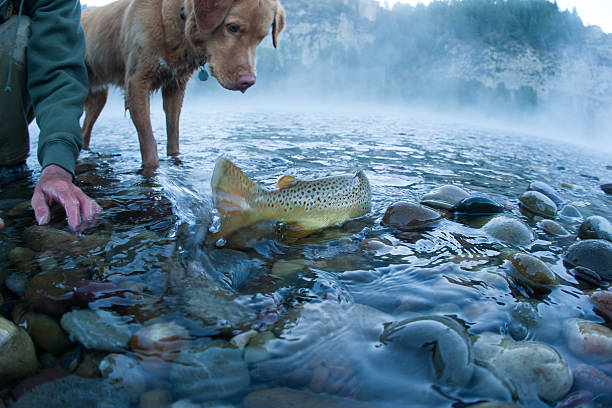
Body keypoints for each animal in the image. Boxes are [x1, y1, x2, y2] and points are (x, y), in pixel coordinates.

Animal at [79, 0, 286, 167]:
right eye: (232, 27)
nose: (248, 82)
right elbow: (149, 144)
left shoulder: (176, 86)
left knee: (85, 131)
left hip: (98, 97)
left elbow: (173, 136)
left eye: (261, 37)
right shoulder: (137, 83)